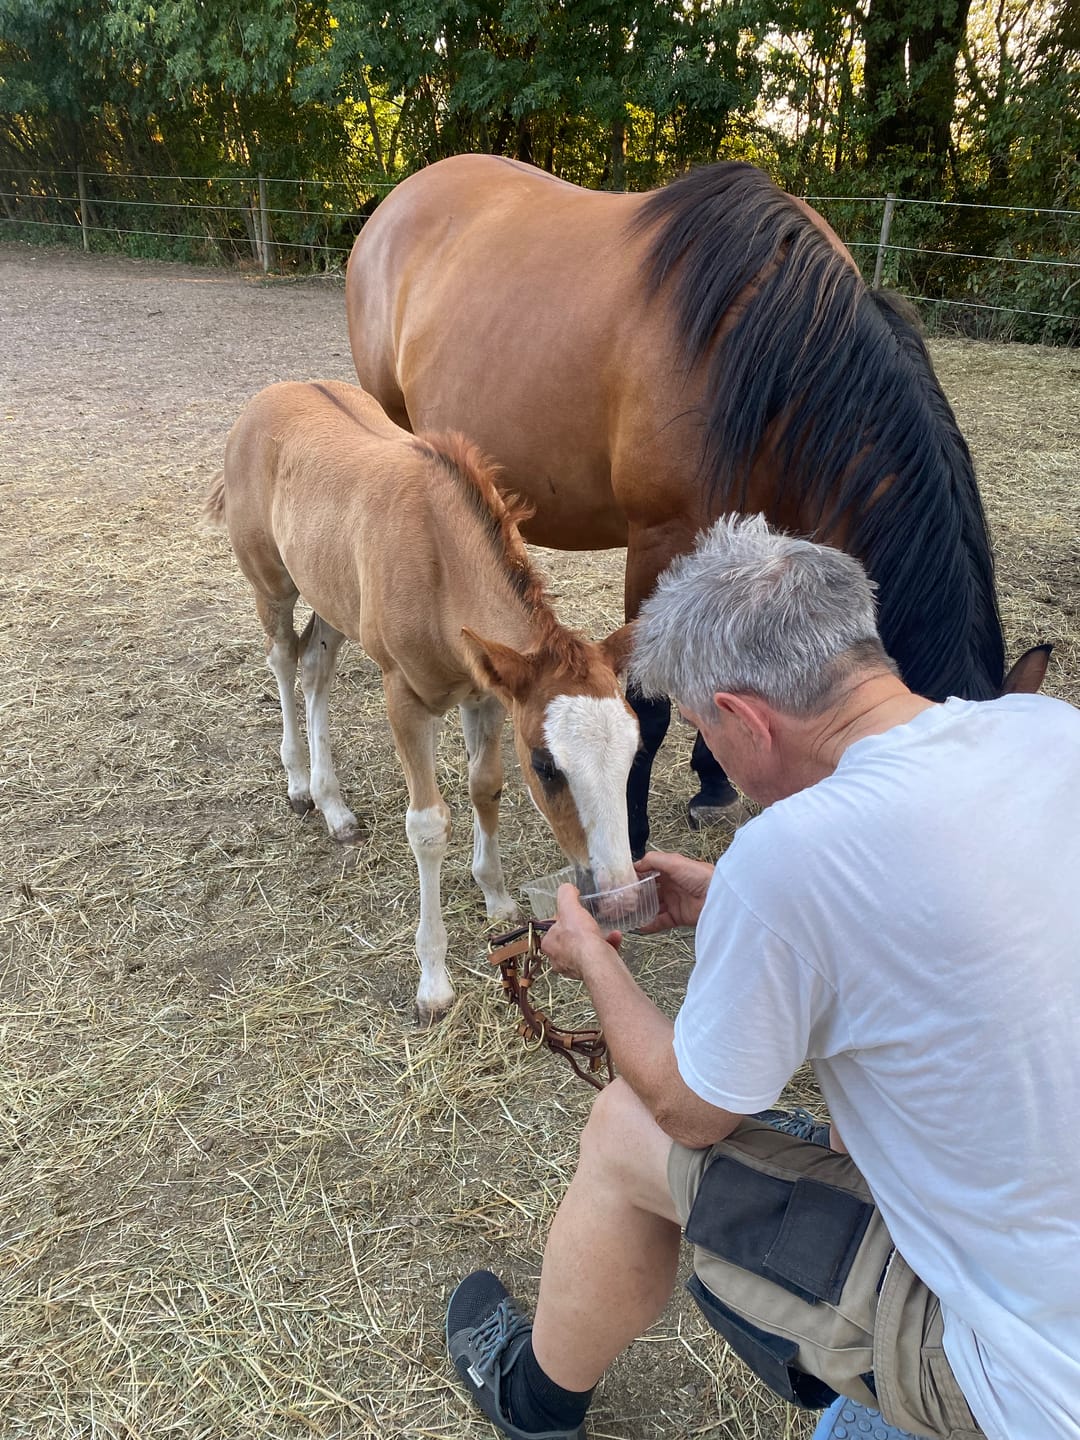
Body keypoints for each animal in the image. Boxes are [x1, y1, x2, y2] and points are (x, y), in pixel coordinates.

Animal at [203, 380, 639, 1022]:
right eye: (545, 766)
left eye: (634, 755)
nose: (621, 898)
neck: (440, 559)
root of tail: (267, 397)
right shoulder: (404, 696)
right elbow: (429, 826)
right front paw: (433, 983)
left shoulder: (487, 691)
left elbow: (486, 787)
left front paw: (497, 897)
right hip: (272, 584)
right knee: (282, 659)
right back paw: (301, 785)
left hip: (335, 597)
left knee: (315, 666)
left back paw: (336, 809)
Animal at [345, 154, 1044, 857]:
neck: (770, 358)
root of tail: (401, 199)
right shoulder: (659, 540)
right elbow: (649, 702)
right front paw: (632, 828)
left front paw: (712, 782)